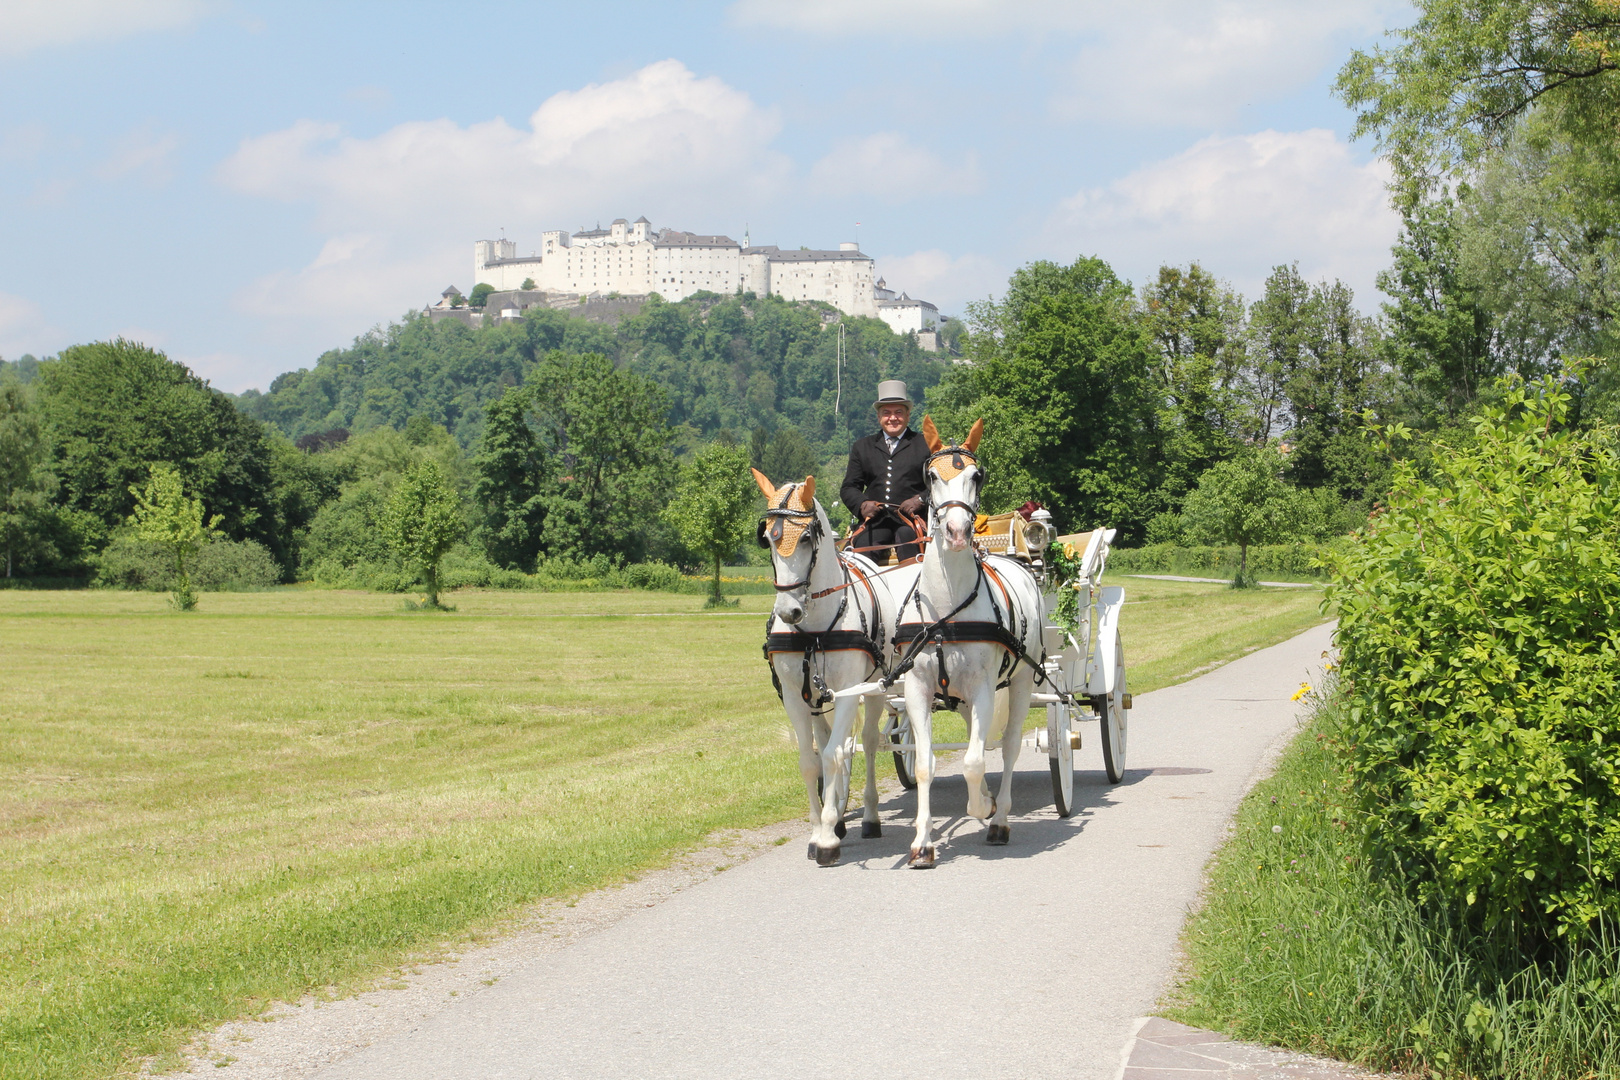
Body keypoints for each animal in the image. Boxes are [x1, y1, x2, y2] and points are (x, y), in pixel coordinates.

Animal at [748, 469, 907, 867]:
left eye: (806, 537)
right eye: (767, 537)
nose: (788, 611)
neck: (815, 629)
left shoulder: (851, 689)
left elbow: (838, 754)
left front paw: (828, 839)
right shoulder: (794, 696)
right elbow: (812, 760)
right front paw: (820, 827)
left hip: (874, 688)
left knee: (866, 741)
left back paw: (869, 817)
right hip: (818, 697)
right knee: (831, 742)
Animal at [887, 417, 1036, 867]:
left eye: (977, 475)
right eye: (932, 477)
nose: (956, 532)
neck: (946, 612)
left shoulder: (986, 689)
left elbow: (972, 761)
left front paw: (981, 808)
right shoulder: (917, 690)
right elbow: (925, 765)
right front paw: (922, 842)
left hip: (1021, 682)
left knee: (1007, 747)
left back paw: (999, 817)